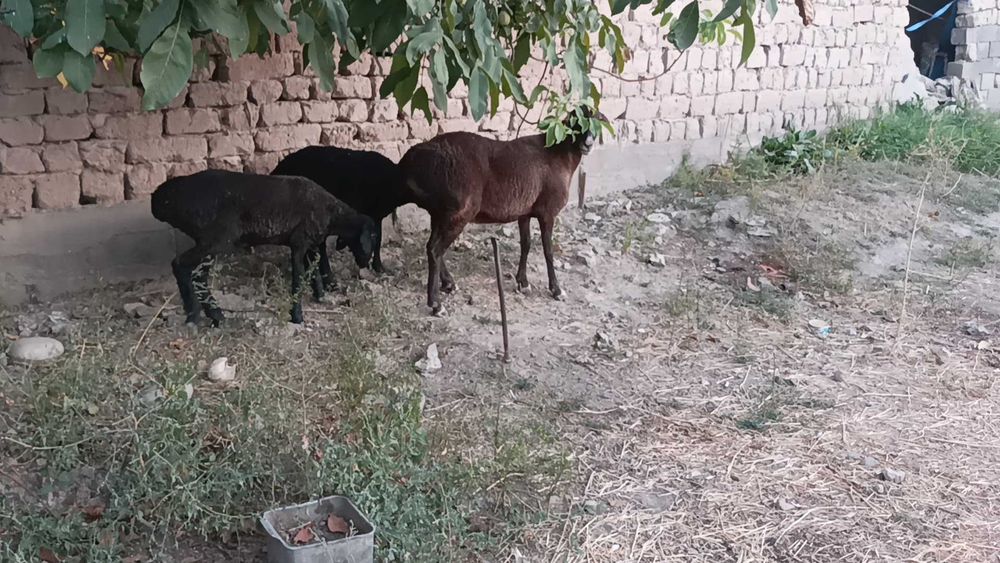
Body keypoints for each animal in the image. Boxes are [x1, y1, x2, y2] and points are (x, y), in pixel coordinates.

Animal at [151, 169, 376, 326]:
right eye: (372, 237)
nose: (366, 263)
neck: (333, 214)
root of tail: (160, 199)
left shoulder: (311, 245)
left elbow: (314, 273)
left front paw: (320, 296)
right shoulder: (299, 243)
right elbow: (298, 279)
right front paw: (297, 316)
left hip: (209, 241)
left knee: (196, 274)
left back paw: (207, 316)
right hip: (217, 238)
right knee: (181, 265)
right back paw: (200, 315)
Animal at [398, 106, 606, 315]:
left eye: (597, 120)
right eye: (575, 121)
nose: (588, 143)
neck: (560, 155)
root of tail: (411, 159)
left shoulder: (525, 212)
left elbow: (526, 244)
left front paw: (523, 283)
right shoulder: (548, 212)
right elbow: (548, 250)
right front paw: (556, 290)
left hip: (439, 212)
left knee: (431, 247)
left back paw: (449, 284)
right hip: (458, 212)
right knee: (435, 250)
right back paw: (436, 304)